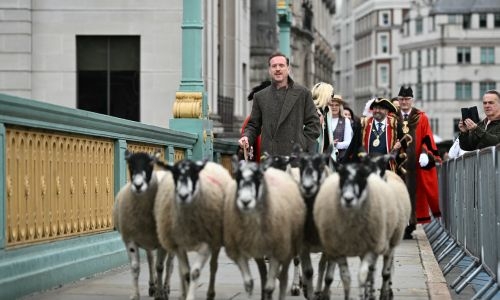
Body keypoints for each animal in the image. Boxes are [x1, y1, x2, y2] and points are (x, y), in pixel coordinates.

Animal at [113, 151, 174, 300]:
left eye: (150, 164)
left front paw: (160, 295)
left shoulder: (161, 242)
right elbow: (135, 267)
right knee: (150, 259)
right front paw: (135, 295)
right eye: (130, 165)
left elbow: (160, 267)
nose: (138, 185)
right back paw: (152, 286)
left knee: (169, 264)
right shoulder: (130, 239)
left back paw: (165, 288)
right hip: (146, 239)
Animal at [153, 159, 231, 300]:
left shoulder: (205, 244)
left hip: (215, 241)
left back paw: (210, 293)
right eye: (175, 175)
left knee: (213, 267)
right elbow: (184, 273)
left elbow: (194, 272)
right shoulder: (177, 245)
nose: (183, 195)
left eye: (195, 176)